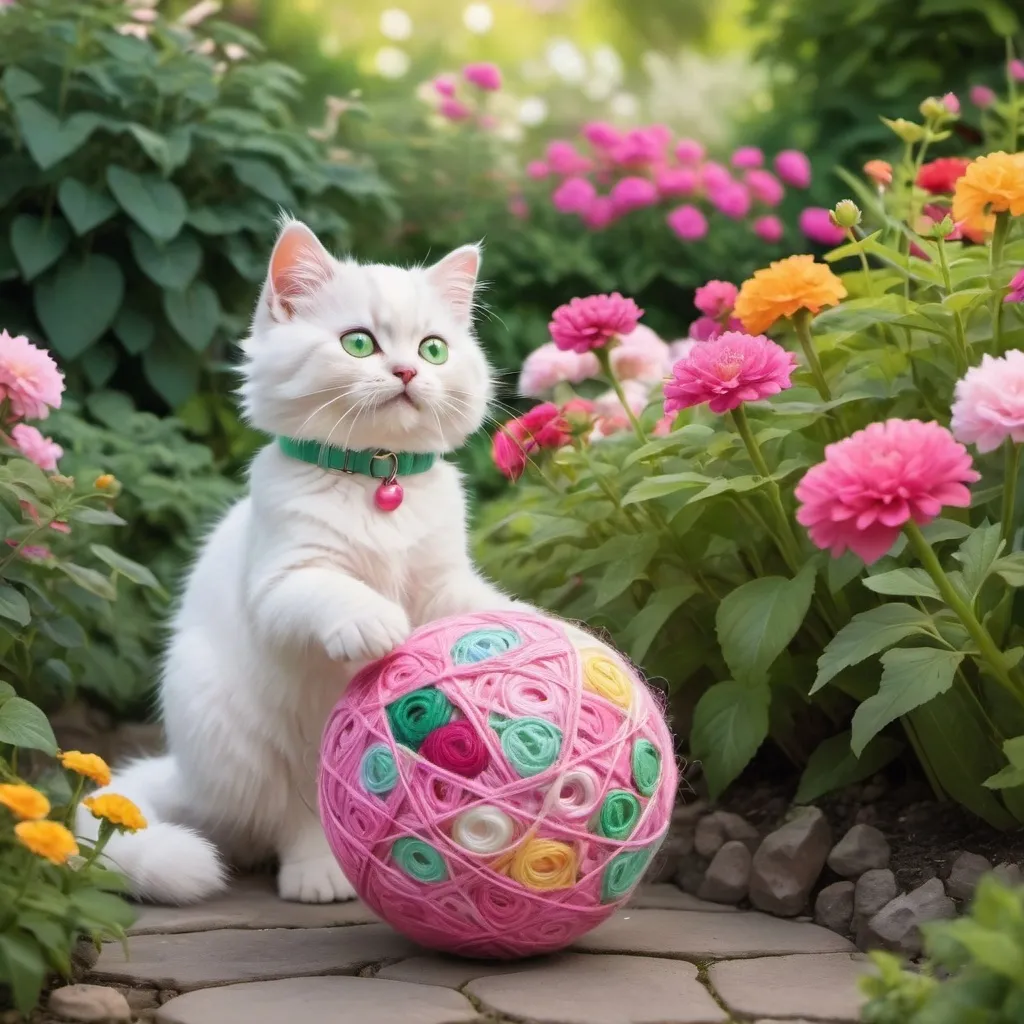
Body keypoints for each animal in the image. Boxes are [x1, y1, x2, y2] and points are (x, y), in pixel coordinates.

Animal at [79, 218, 524, 905]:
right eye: (359, 343)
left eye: (433, 351)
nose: (406, 371)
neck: (376, 481)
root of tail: (183, 774)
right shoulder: (282, 580)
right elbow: (331, 590)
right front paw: (373, 621)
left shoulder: (442, 581)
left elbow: (476, 607)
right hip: (250, 739)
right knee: (296, 818)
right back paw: (321, 875)